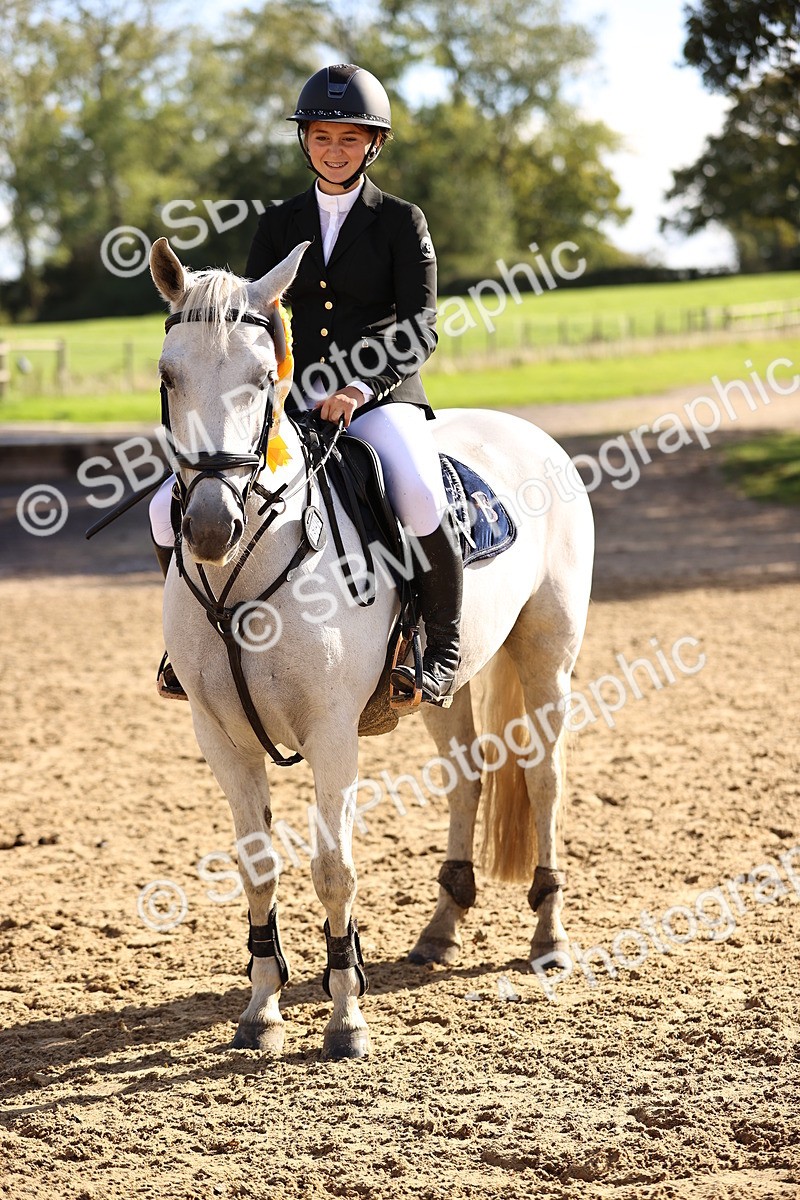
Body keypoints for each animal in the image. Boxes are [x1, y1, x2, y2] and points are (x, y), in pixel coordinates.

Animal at [149, 236, 594, 1059]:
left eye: (263, 379)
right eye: (169, 375)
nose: (210, 527)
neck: (247, 566)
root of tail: (524, 429)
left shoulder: (331, 734)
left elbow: (334, 870)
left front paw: (345, 1016)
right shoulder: (219, 736)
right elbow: (257, 866)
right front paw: (263, 1008)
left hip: (546, 657)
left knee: (545, 781)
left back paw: (549, 938)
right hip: (441, 684)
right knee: (467, 779)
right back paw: (441, 930)